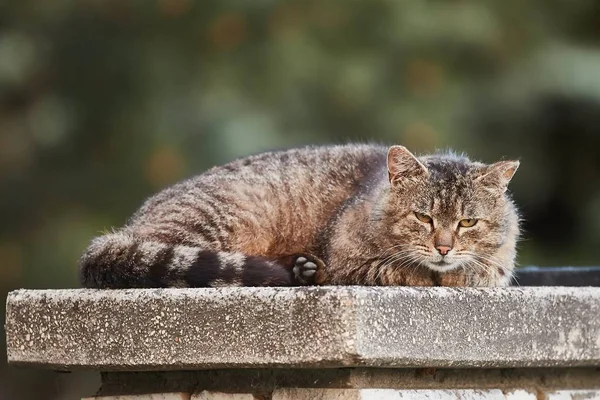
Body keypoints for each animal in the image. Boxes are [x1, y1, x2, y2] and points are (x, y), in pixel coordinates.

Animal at [79, 144, 520, 288]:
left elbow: (483, 269)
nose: (443, 248)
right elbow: (398, 270)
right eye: (423, 217)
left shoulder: (500, 263)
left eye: (467, 222)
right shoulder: (349, 262)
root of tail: (128, 227)